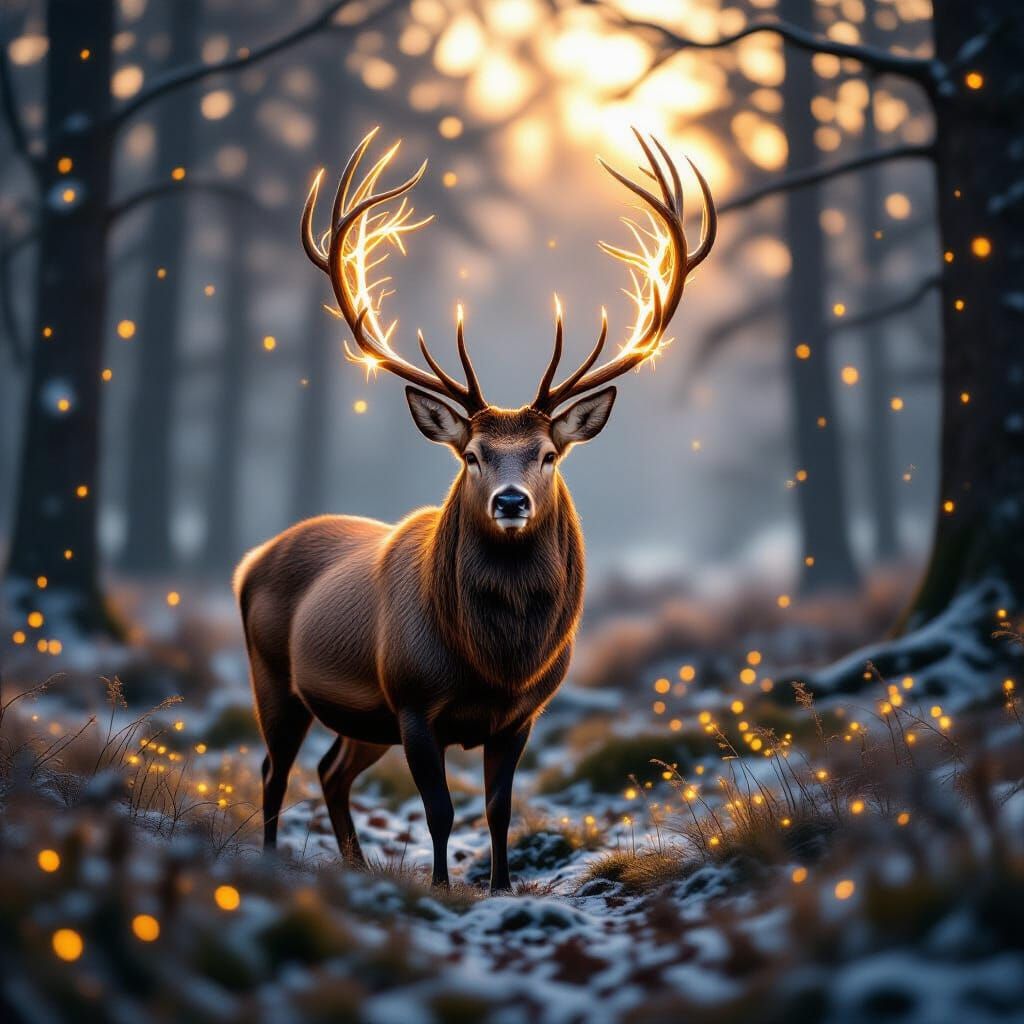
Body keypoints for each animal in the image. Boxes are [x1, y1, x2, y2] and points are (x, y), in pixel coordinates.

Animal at [234, 127, 716, 892]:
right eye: (471, 455)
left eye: (548, 454)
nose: (511, 500)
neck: (495, 662)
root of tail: (250, 561)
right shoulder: (412, 701)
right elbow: (440, 810)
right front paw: (440, 885)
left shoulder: (520, 714)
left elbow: (498, 810)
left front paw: (499, 885)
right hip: (274, 675)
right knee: (275, 770)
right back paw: (274, 860)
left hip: (361, 716)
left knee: (331, 771)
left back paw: (356, 864)